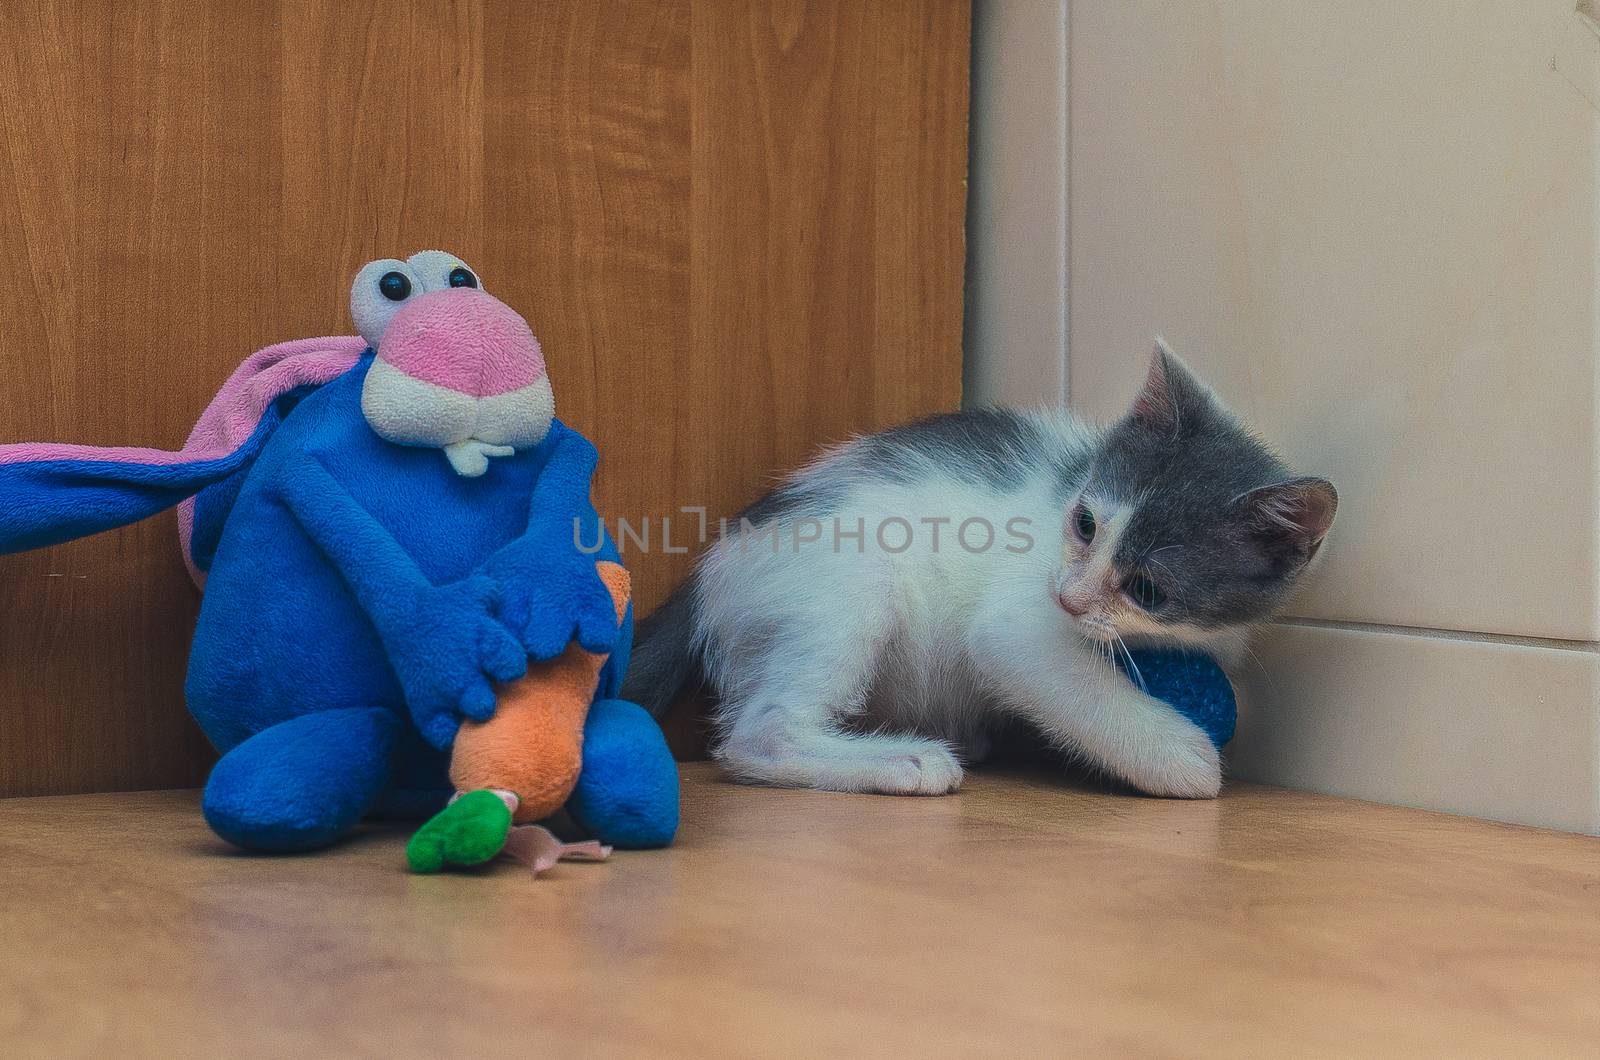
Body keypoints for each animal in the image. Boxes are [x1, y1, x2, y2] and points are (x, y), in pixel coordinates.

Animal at [624, 344, 1337, 800]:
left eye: (1148, 589)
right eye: (1085, 523)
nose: (1069, 598)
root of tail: (717, 562)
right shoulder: (1017, 628)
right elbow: (1055, 672)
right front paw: (1185, 759)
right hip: (849, 578)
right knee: (758, 734)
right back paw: (905, 759)